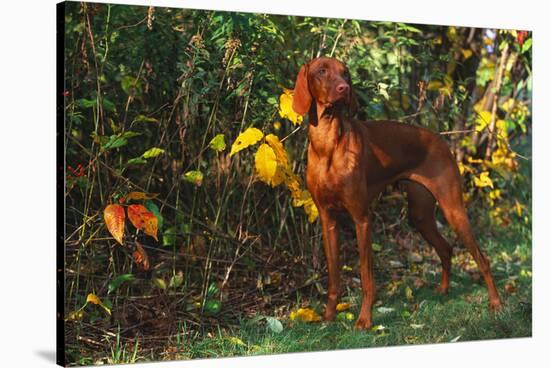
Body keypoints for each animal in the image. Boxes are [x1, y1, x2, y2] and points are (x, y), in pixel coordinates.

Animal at [294, 56, 504, 330]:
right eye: (321, 71)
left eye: (345, 73)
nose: (344, 88)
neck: (328, 143)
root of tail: (440, 139)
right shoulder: (328, 220)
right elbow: (333, 278)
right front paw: (328, 318)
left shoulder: (361, 219)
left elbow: (366, 277)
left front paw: (364, 320)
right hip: (420, 214)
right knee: (446, 249)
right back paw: (443, 291)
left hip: (453, 209)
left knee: (482, 258)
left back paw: (496, 303)